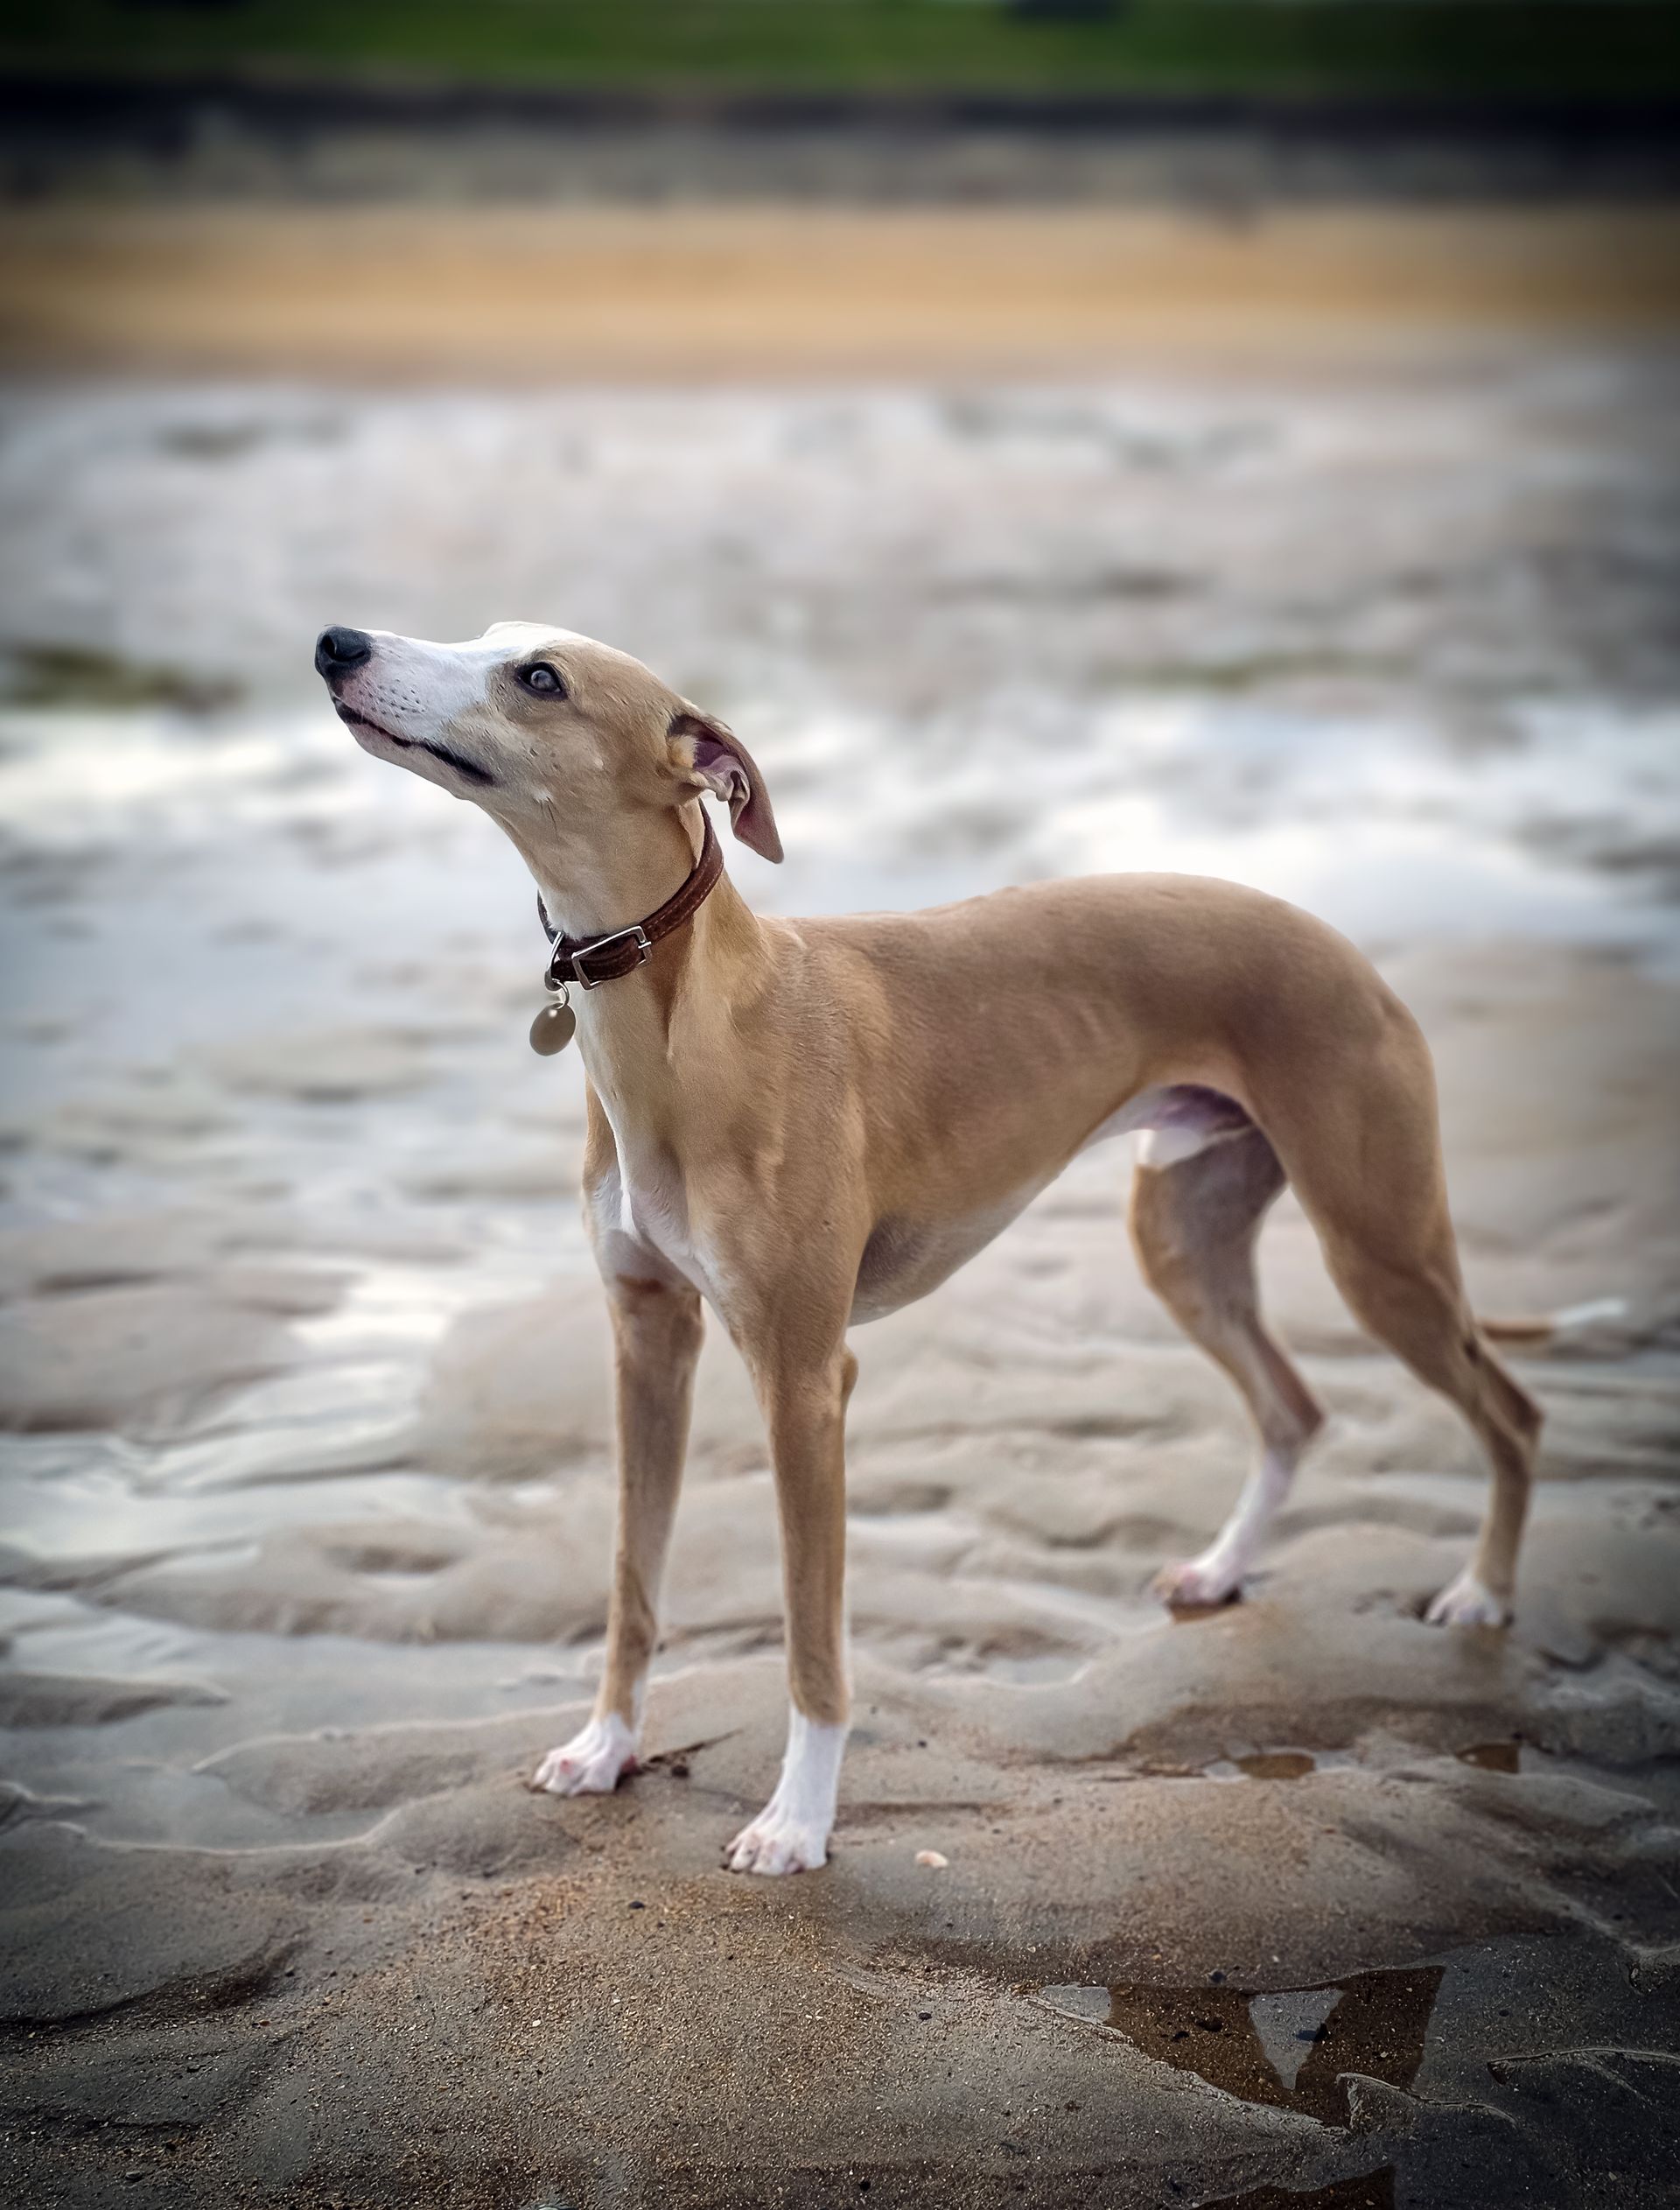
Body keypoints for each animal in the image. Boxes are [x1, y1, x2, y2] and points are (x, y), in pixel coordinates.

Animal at [316, 619, 1543, 1876]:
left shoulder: (806, 1378)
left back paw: (1482, 1595)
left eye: (540, 678)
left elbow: (813, 1635)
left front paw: (797, 1823)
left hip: (1377, 1243)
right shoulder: (648, 1339)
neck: (690, 1016)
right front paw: (606, 1747)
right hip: (1185, 1239)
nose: (337, 643)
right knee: (1294, 1407)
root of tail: (1339, 941)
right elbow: (631, 1579)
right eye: (483, 633)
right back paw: (1222, 1568)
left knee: (1512, 1409)